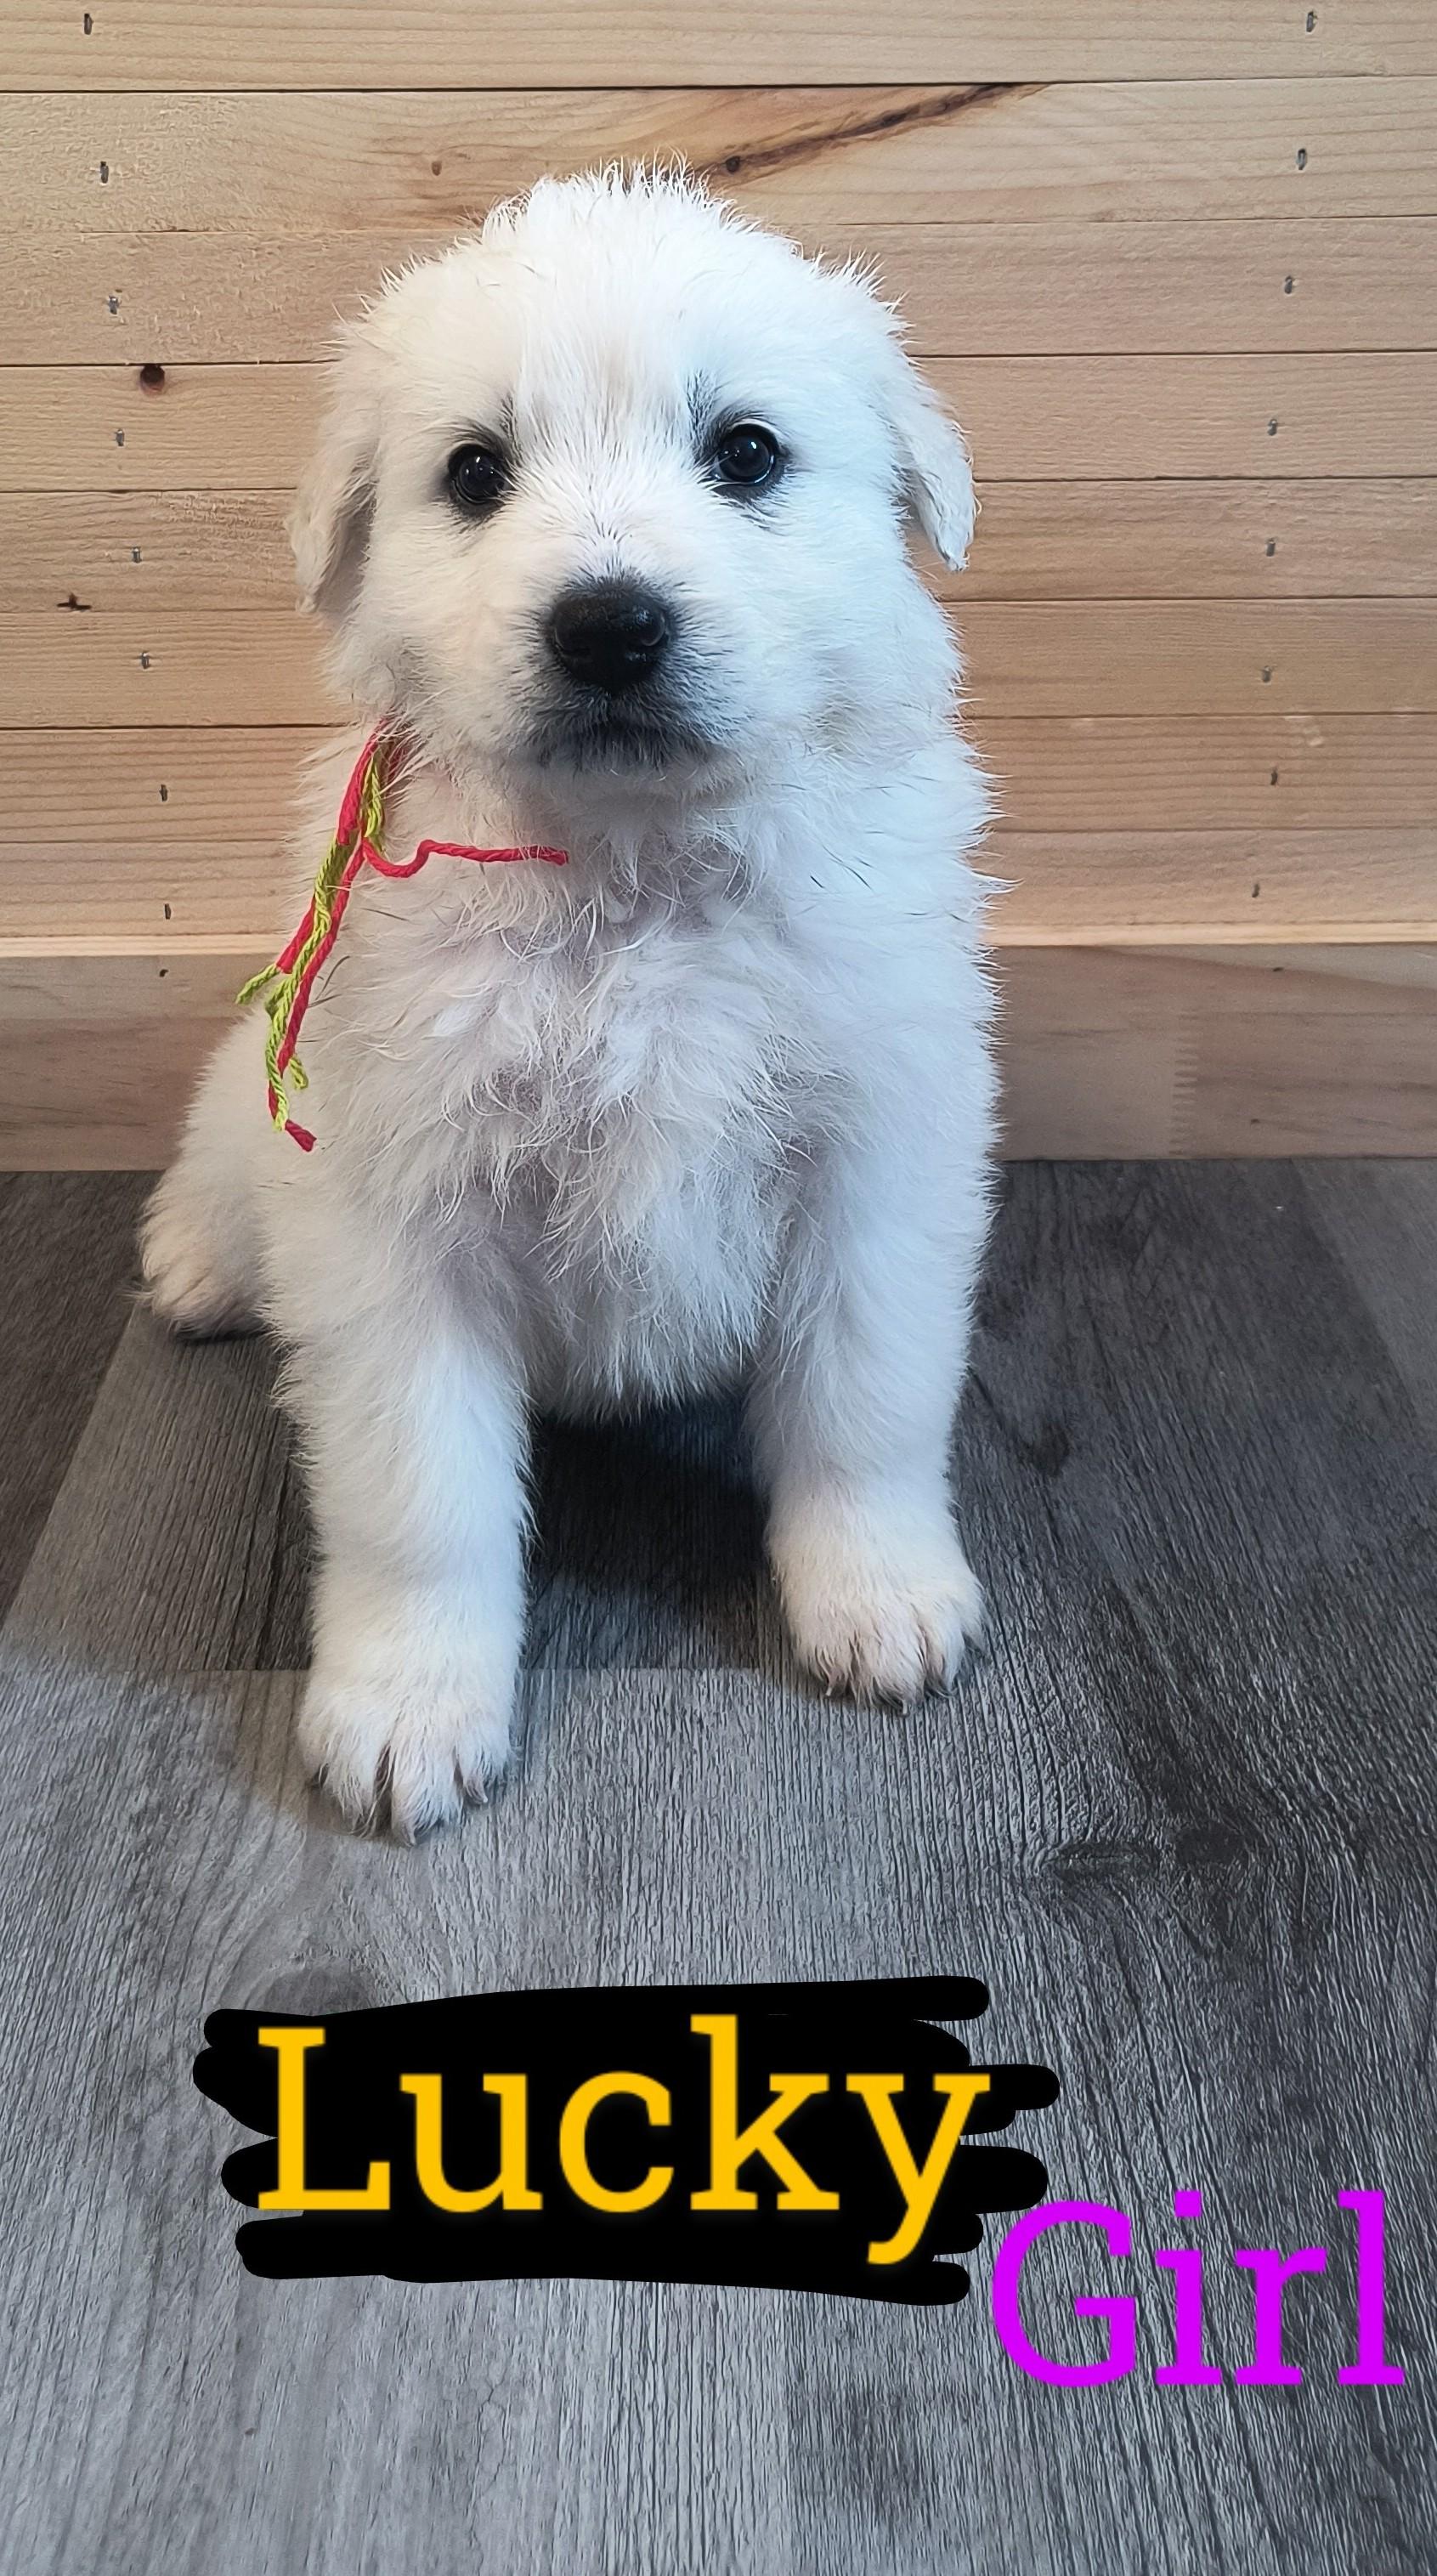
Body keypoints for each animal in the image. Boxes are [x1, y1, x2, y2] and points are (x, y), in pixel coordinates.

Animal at [146, 171, 1004, 1844]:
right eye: (476, 474)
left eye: (746, 453)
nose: (610, 625)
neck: (633, 880)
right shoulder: (393, 1213)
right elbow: (421, 1495)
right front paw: (410, 1705)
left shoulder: (876, 1160)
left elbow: (862, 1406)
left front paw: (877, 1595)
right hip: (268, 1090)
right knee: (220, 1140)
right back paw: (199, 1261)